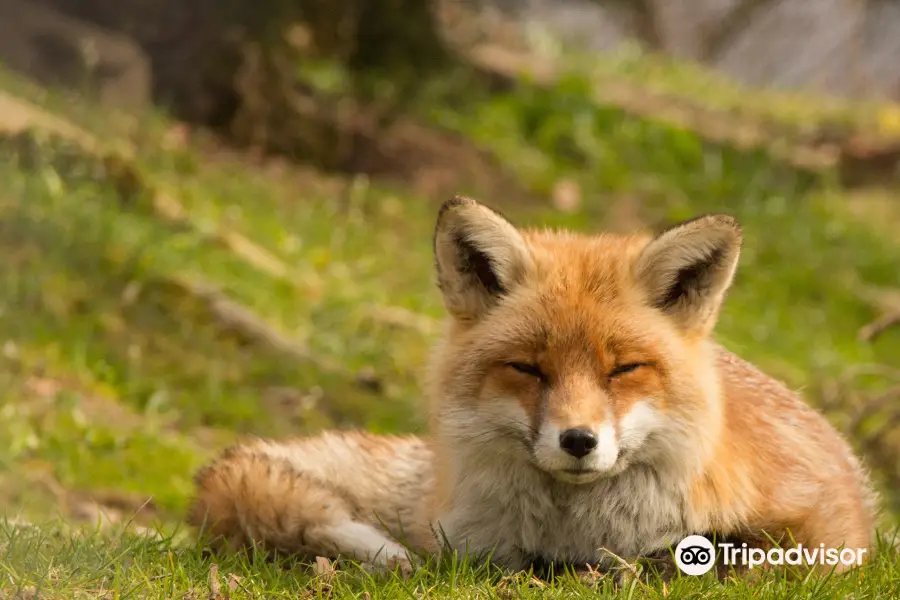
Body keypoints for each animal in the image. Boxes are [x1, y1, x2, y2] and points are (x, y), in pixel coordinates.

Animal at [186, 196, 876, 576]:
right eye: (529, 369)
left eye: (622, 370)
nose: (578, 440)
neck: (572, 540)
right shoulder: (470, 546)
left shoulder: (823, 531)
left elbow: (742, 552)